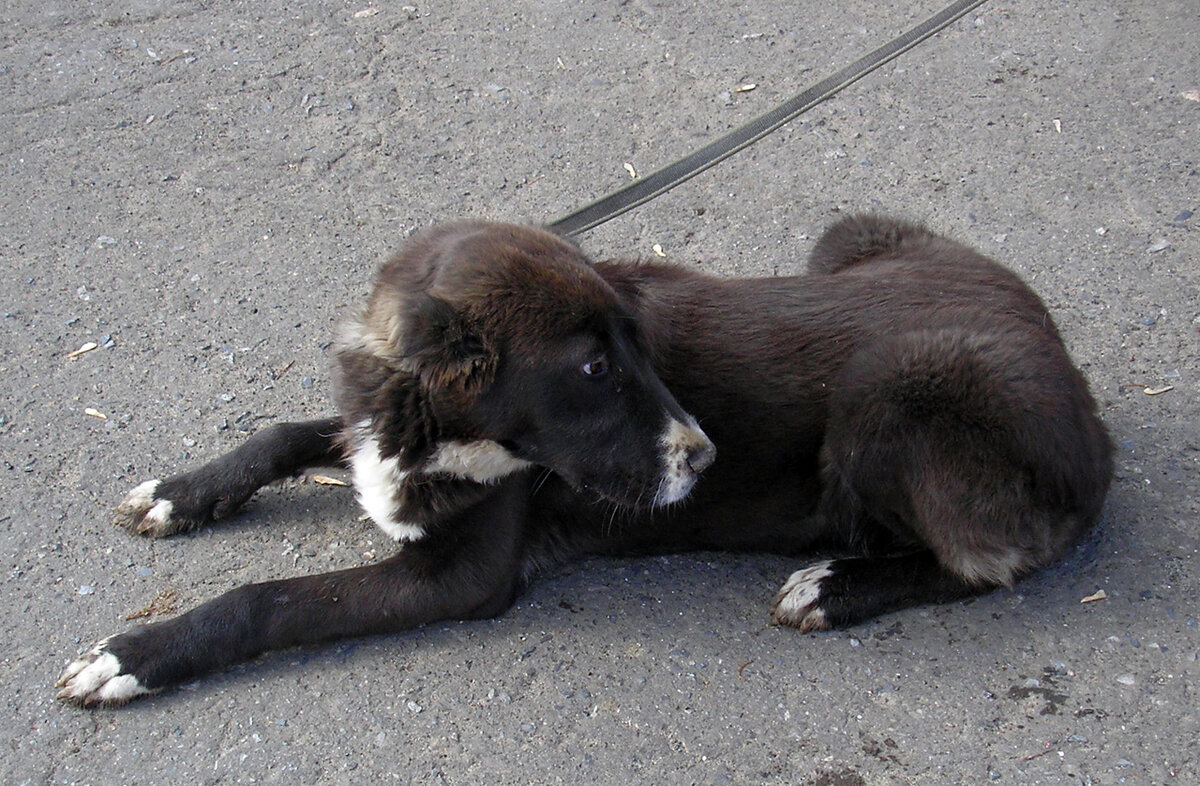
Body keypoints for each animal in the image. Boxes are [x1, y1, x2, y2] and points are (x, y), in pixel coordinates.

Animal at [56, 214, 1108, 705]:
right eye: (597, 368)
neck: (433, 426)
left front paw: (131, 657)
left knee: (992, 559)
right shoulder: (369, 435)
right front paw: (180, 494)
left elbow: (267, 599)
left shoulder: (462, 576)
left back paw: (837, 585)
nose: (705, 457)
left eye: (638, 348)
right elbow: (282, 433)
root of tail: (1086, 402)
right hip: (848, 240)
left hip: (897, 395)